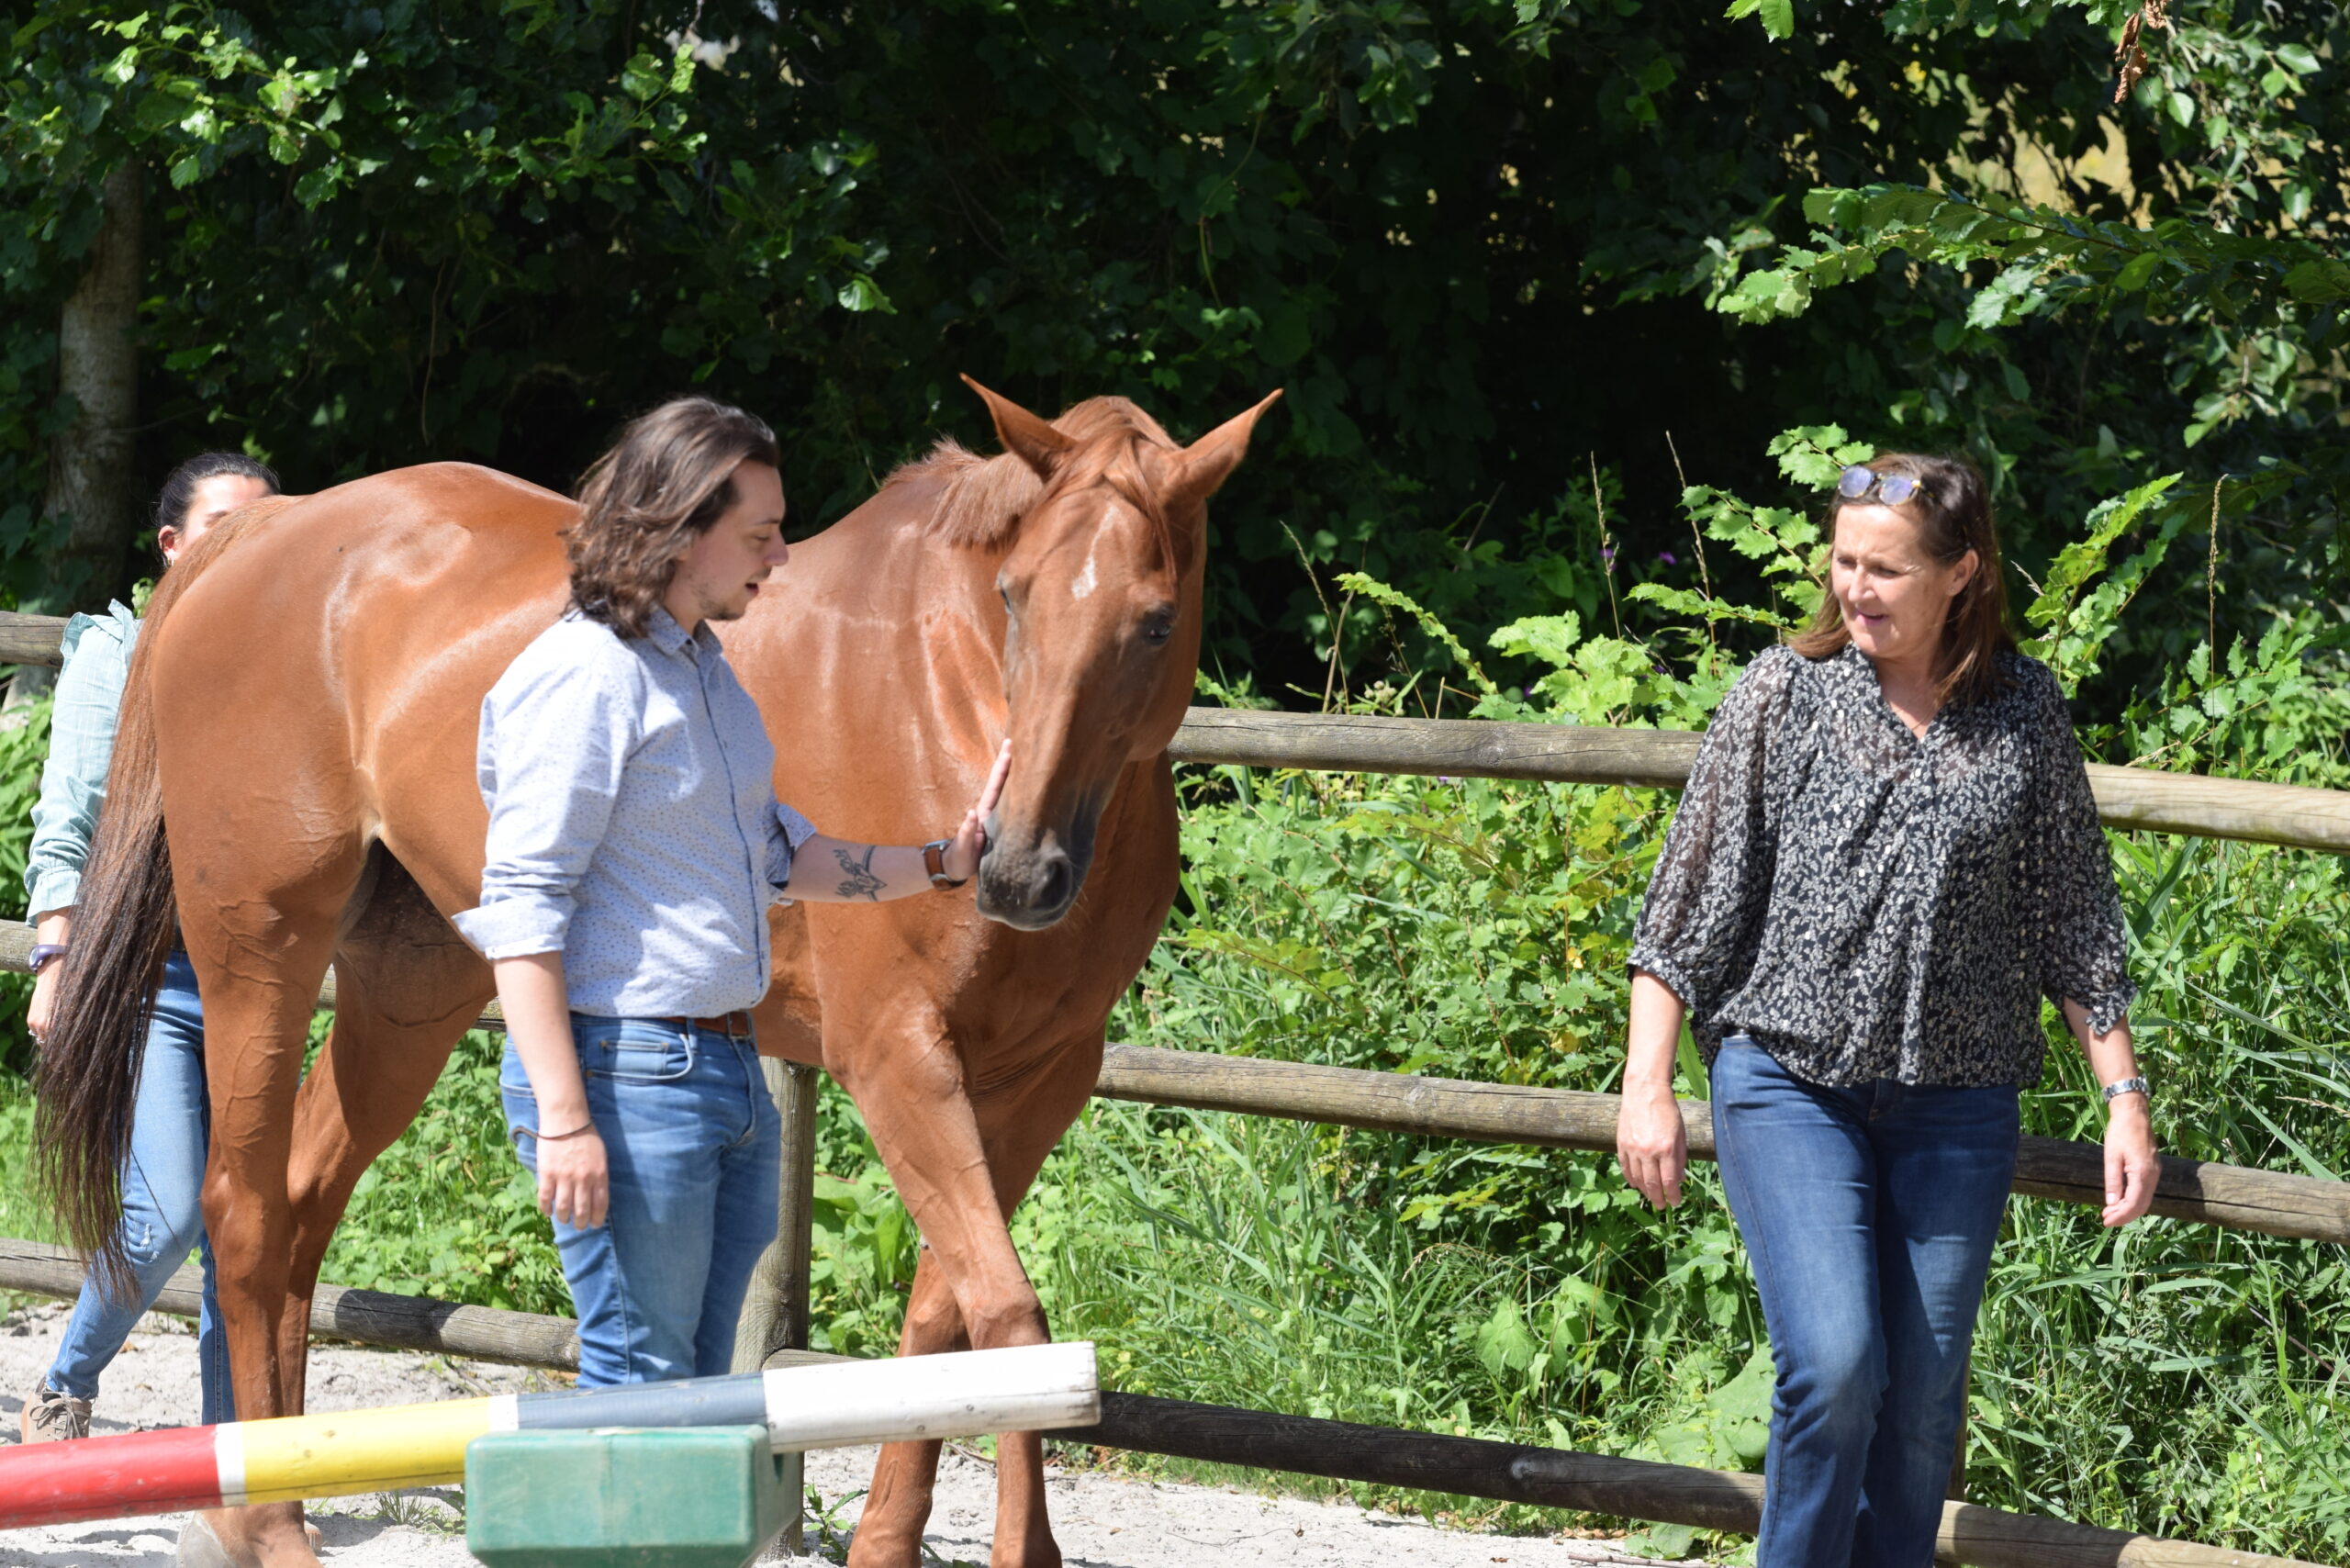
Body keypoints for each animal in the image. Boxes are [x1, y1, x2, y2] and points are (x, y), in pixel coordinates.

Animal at [37, 379, 1279, 1568]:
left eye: (1154, 620)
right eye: (1015, 594)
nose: (1018, 870)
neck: (945, 692)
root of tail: (260, 538)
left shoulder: (1034, 1080)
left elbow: (946, 1319)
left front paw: (888, 1544)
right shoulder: (897, 1057)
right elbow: (1012, 1318)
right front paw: (1026, 1549)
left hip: (410, 991)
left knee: (300, 1199)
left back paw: (268, 1497)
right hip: (260, 948)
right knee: (243, 1212)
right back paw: (270, 1529)